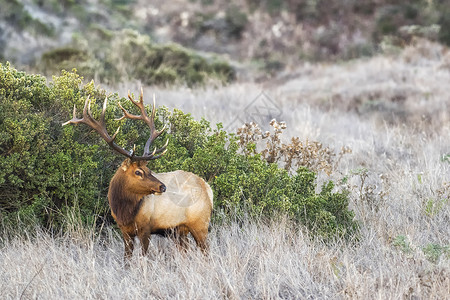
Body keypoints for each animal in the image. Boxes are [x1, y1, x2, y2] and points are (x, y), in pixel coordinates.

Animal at [62, 88, 214, 260]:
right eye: (138, 172)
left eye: (149, 170)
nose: (162, 187)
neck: (123, 211)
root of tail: (208, 188)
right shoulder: (124, 231)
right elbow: (126, 259)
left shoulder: (145, 228)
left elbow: (144, 257)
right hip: (179, 230)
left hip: (200, 223)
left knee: (206, 252)